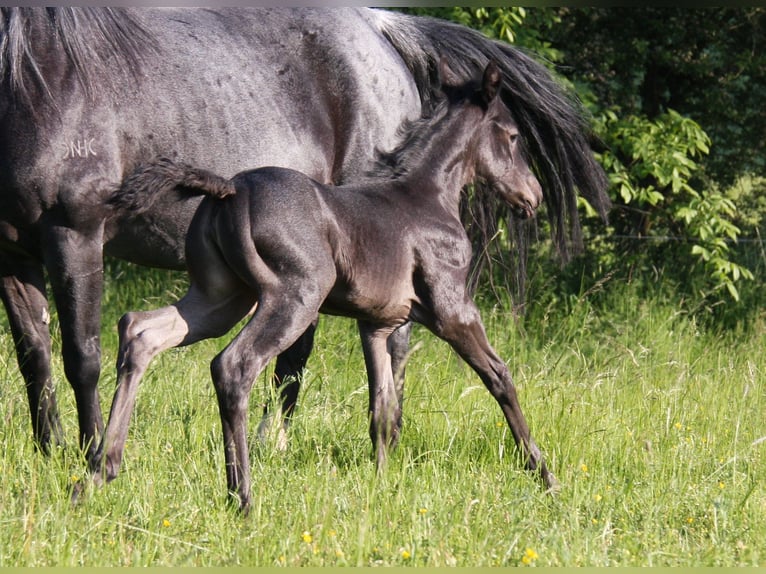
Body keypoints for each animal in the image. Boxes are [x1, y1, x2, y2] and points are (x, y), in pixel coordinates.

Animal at [91, 62, 560, 512]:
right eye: (513, 136)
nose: (533, 196)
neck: (428, 197)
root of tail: (231, 188)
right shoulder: (454, 311)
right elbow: (499, 377)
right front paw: (545, 477)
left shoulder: (376, 326)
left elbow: (381, 409)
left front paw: (382, 485)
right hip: (293, 298)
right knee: (233, 366)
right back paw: (241, 498)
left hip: (219, 299)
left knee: (140, 331)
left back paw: (99, 471)